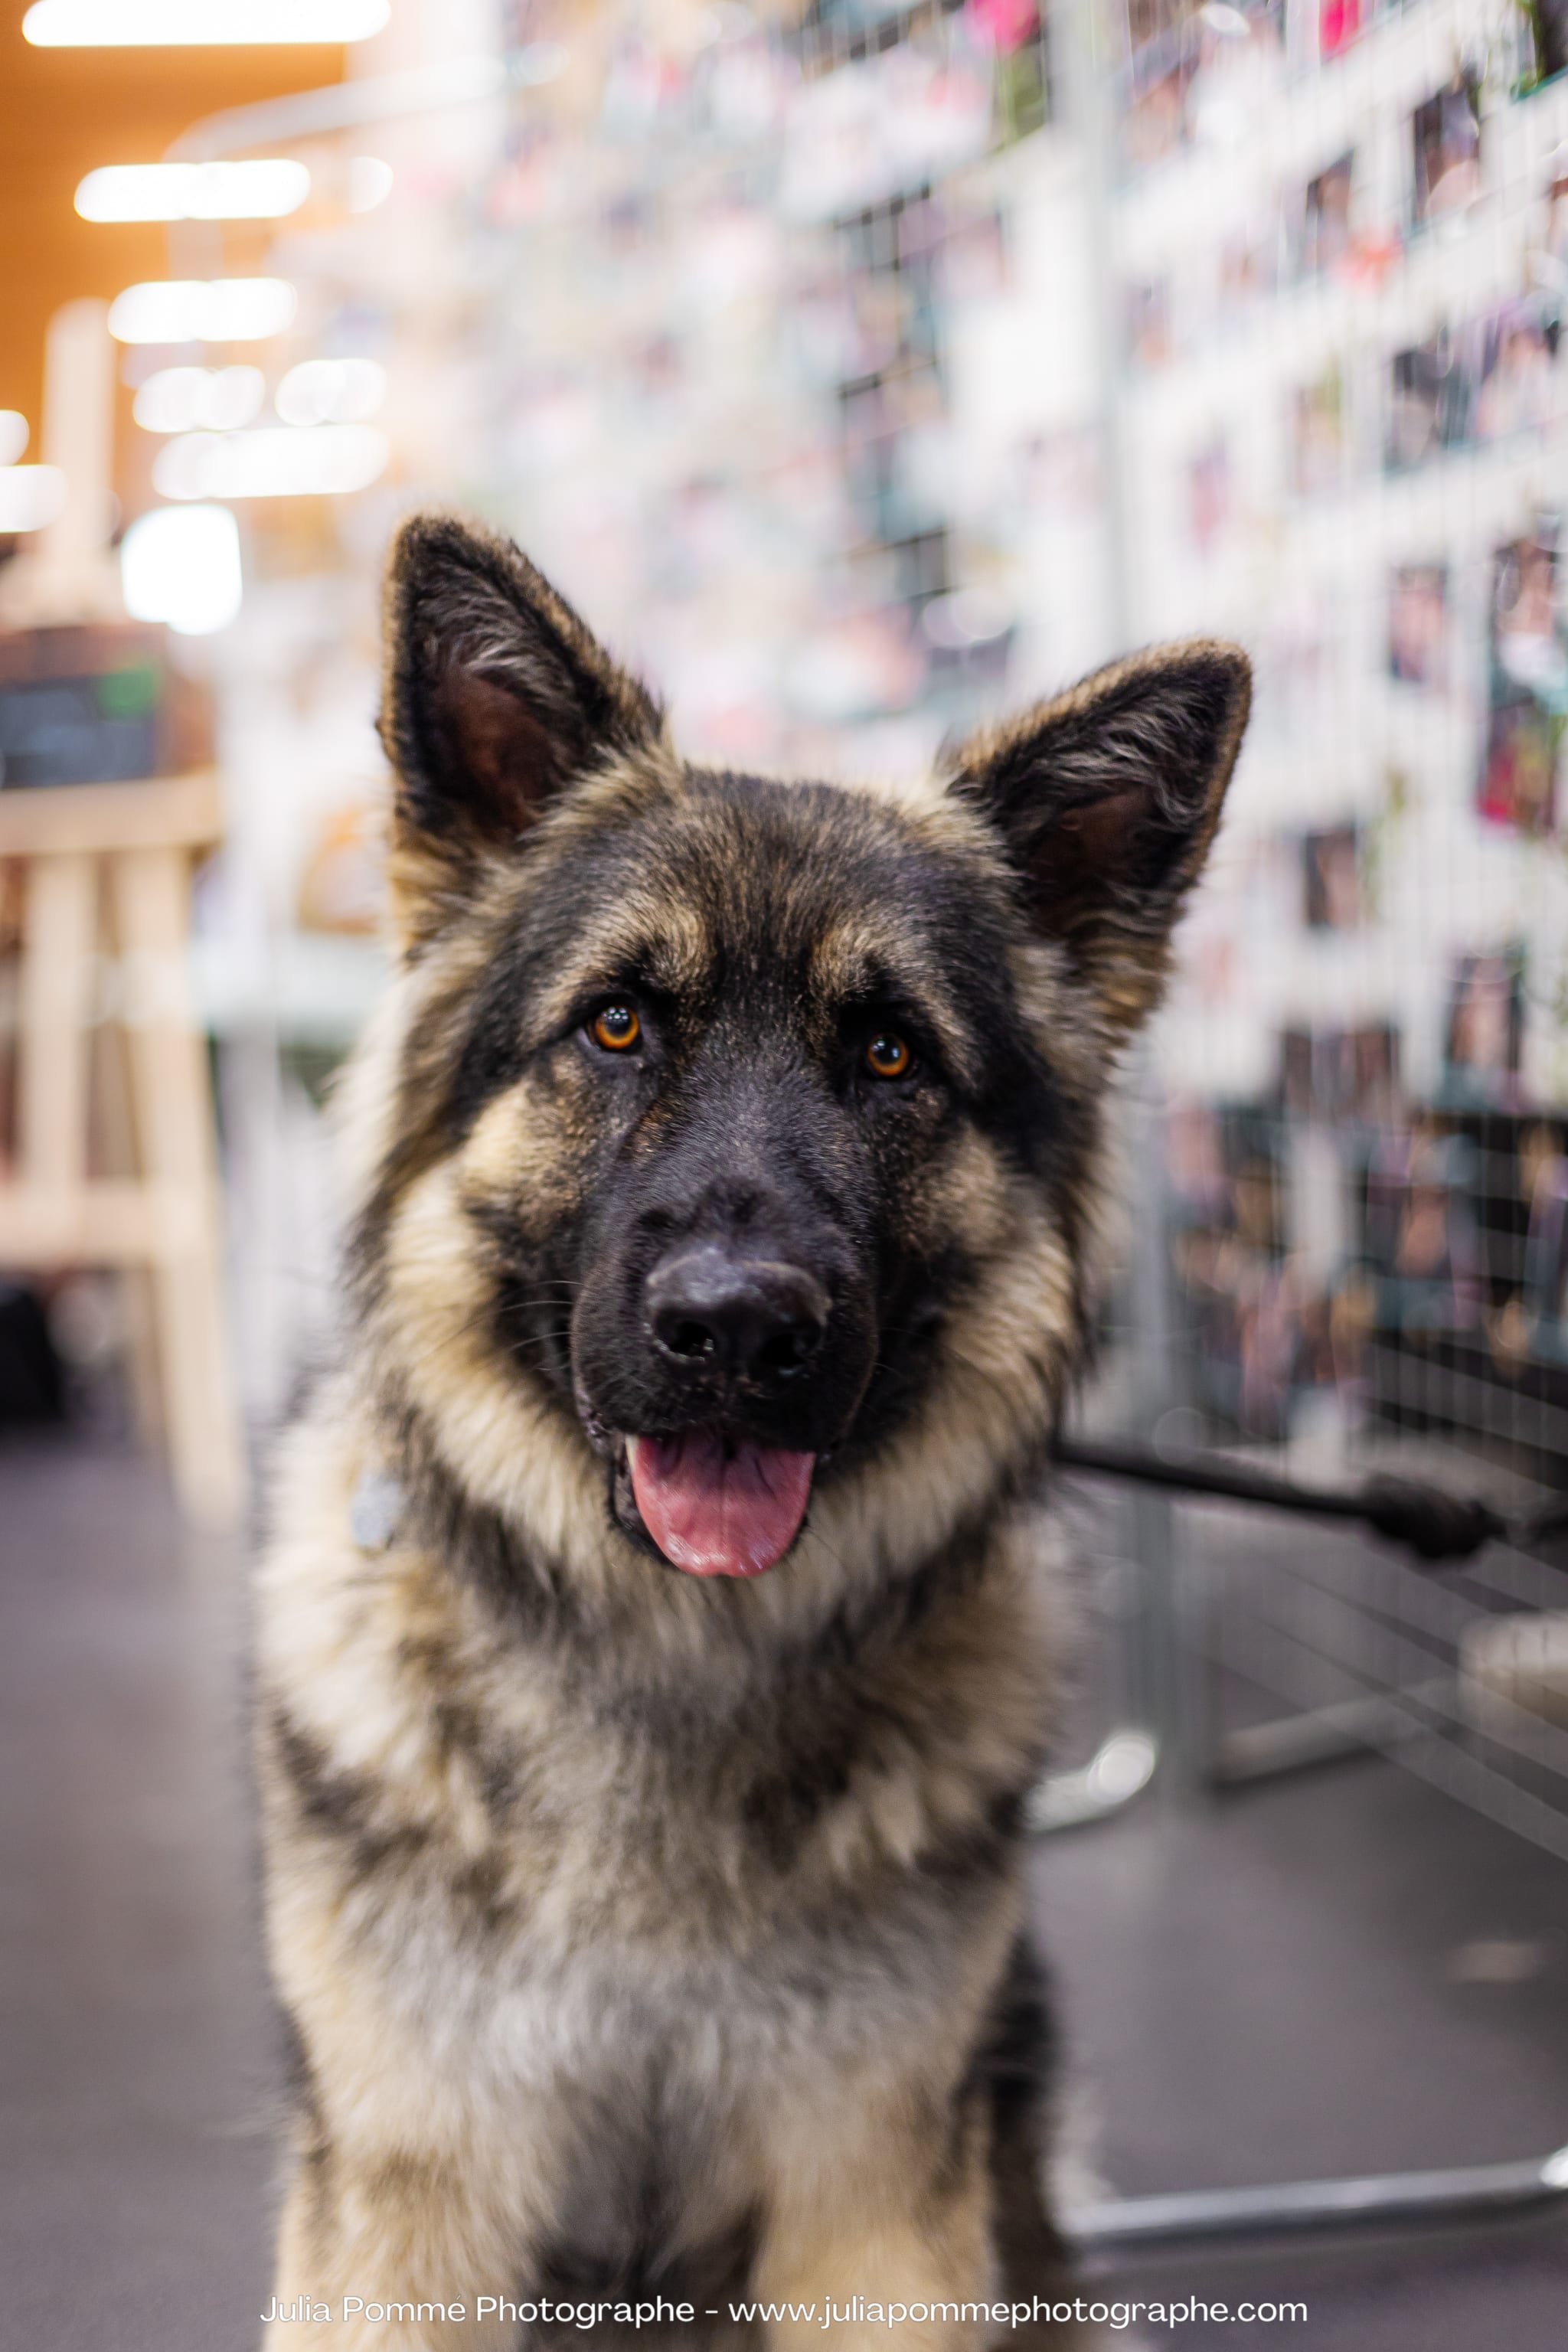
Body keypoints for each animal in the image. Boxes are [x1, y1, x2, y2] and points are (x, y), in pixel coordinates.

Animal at [251, 519, 1241, 2352]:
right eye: (616, 1025)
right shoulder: (414, 2195)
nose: (734, 1329)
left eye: (891, 1054)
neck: (672, 1654)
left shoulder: (873, 2189)